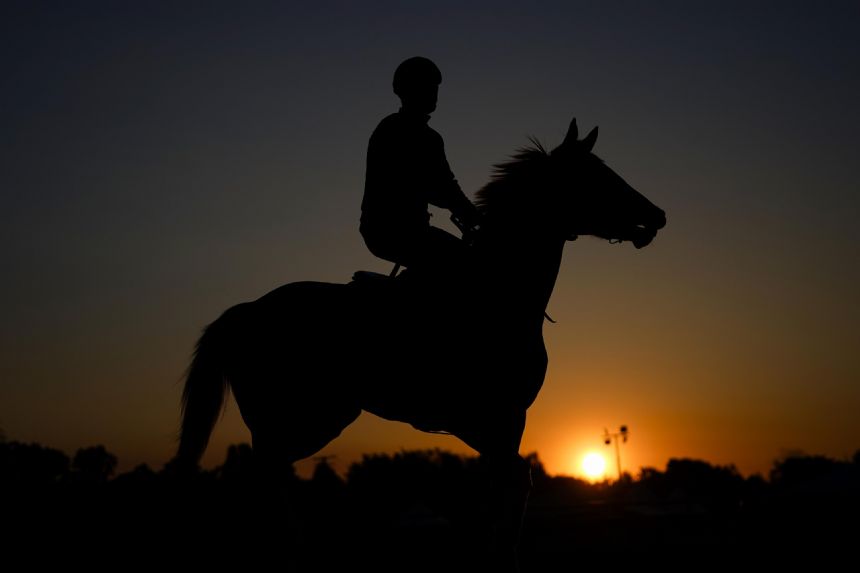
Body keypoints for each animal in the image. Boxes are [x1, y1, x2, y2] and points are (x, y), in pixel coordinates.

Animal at [175, 117, 664, 568]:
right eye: (597, 175)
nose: (657, 215)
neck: (499, 290)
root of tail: (244, 311)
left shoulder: (501, 422)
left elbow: (504, 486)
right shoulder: (490, 417)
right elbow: (513, 482)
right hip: (296, 420)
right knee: (261, 480)